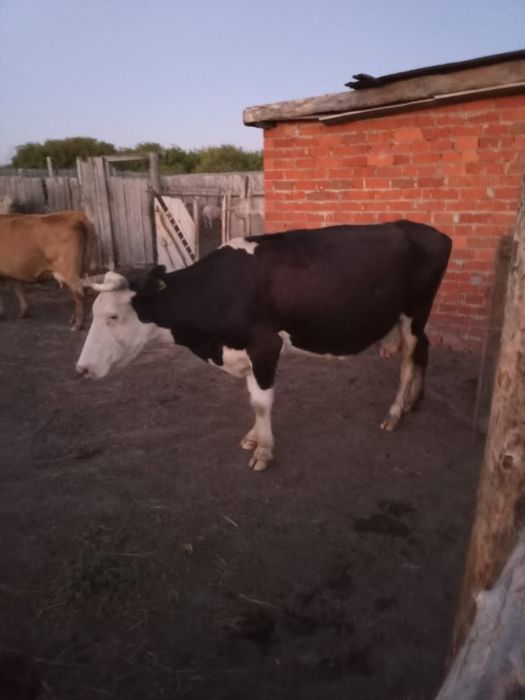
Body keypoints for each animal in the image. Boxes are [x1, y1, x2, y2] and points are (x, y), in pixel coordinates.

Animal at [76, 220, 452, 471]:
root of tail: (428, 230)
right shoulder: (243, 350)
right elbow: (252, 398)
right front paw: (253, 438)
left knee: (408, 362)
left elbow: (261, 402)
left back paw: (394, 413)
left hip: (414, 312)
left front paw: (263, 452)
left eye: (112, 316)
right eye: (94, 313)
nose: (81, 369)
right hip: (414, 319)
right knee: (422, 350)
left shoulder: (265, 346)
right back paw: (414, 401)